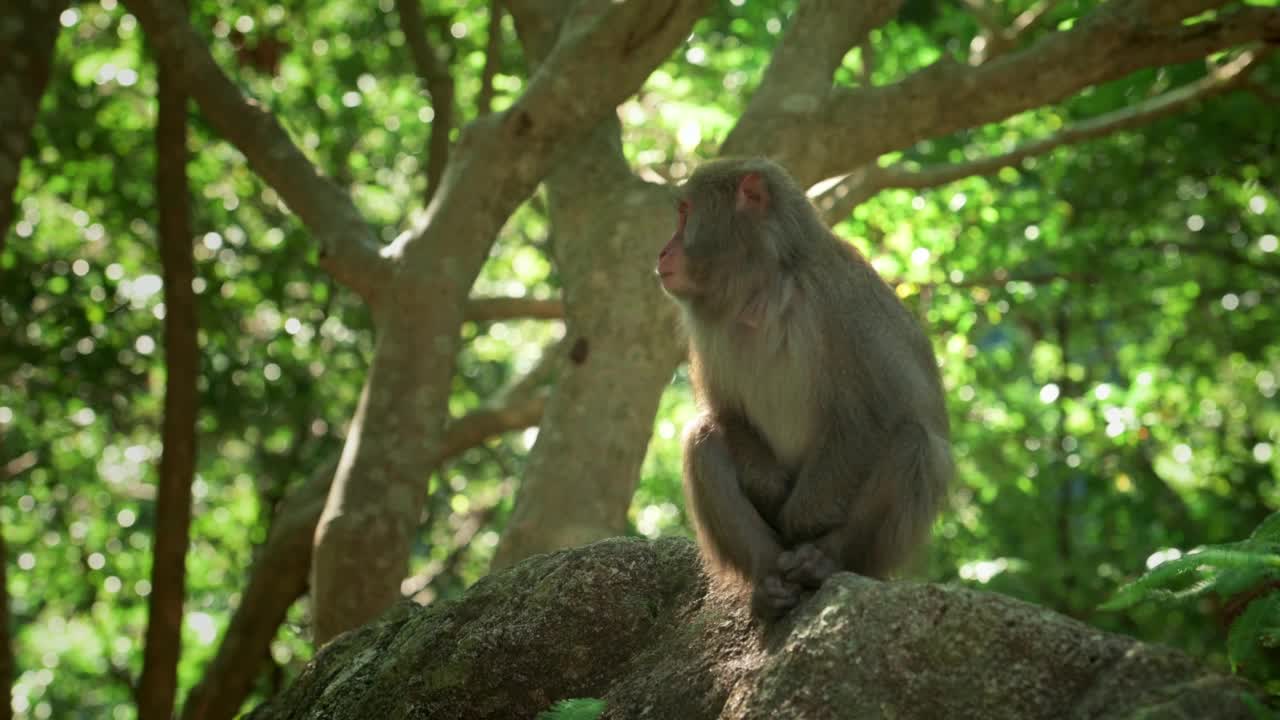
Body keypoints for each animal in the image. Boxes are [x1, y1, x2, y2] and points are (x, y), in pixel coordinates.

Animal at [660, 159, 952, 620]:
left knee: (915, 443)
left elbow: (869, 417)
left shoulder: (840, 302)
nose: (663, 251)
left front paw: (801, 516)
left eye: (685, 214)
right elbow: (726, 412)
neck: (759, 291)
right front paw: (767, 486)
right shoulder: (704, 329)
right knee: (702, 440)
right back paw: (768, 579)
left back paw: (824, 560)